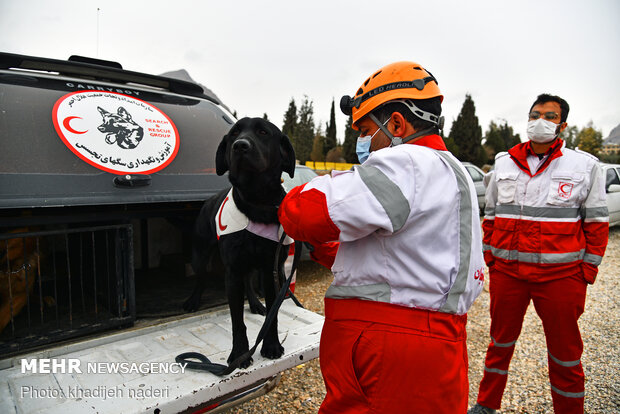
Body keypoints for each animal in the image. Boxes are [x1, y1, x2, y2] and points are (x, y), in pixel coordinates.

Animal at [184, 118, 296, 368]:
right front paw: (239, 354)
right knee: (201, 278)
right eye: (234, 133)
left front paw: (271, 346)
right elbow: (237, 321)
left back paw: (255, 304)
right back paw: (193, 300)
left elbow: (272, 316)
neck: (256, 203)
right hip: (200, 253)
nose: (240, 146)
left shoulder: (270, 269)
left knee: (248, 283)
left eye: (263, 132)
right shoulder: (232, 271)